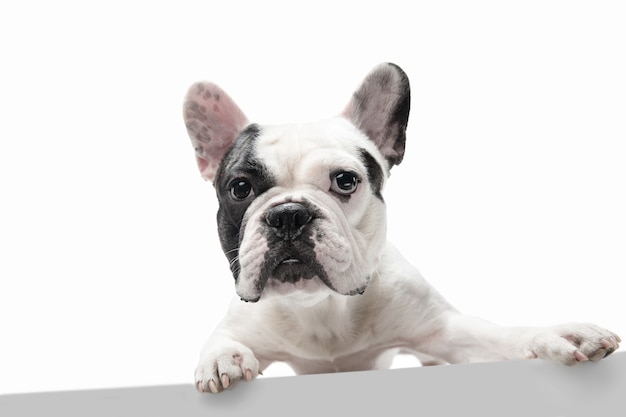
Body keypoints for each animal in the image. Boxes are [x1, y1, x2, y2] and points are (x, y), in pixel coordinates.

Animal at [182, 62, 620, 394]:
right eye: (240, 188)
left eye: (345, 181)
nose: (288, 214)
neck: (321, 308)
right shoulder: (241, 326)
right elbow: (219, 341)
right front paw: (223, 360)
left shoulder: (442, 330)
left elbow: (496, 335)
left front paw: (554, 337)